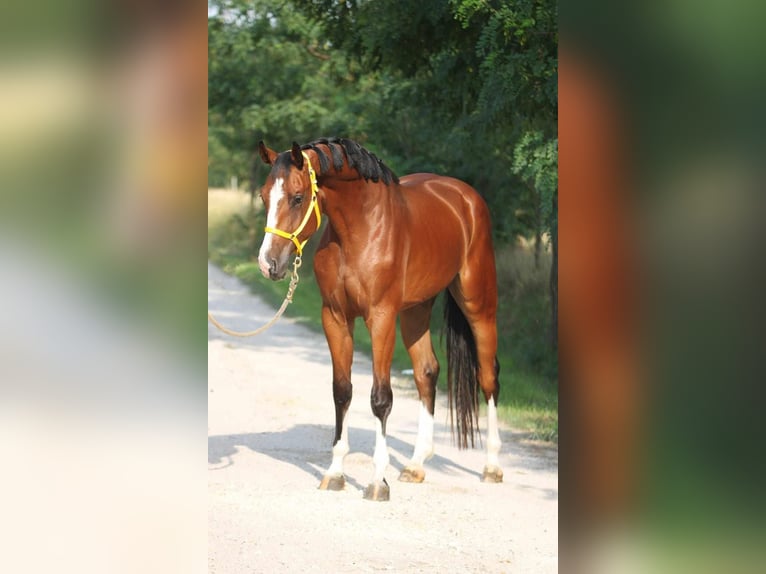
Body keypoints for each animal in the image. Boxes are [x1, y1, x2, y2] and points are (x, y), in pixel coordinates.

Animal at [256, 137, 504, 502]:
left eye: (298, 197)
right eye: (264, 196)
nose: (268, 264)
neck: (359, 229)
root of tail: (466, 198)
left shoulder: (382, 318)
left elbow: (380, 398)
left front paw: (377, 481)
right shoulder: (335, 317)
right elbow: (342, 391)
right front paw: (335, 473)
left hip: (478, 303)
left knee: (487, 376)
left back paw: (492, 466)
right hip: (416, 310)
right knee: (427, 372)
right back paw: (416, 465)